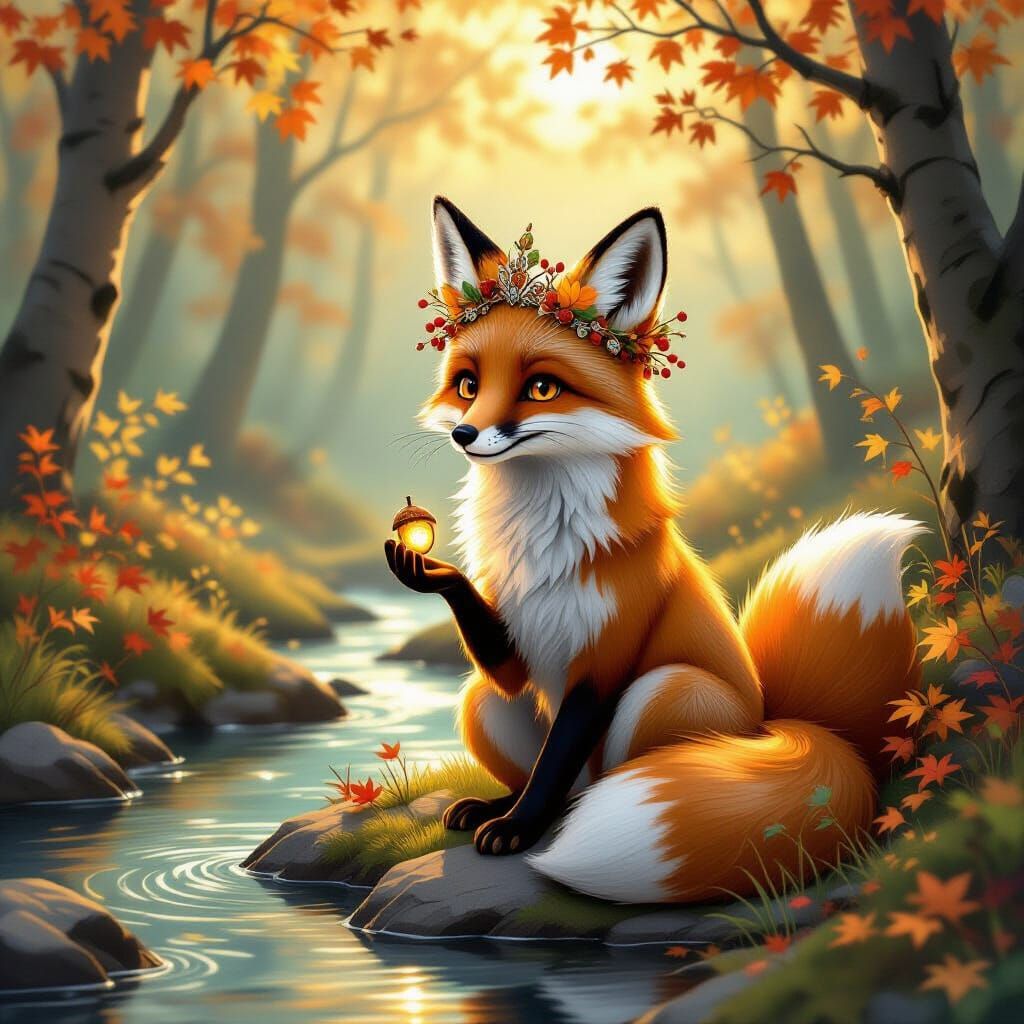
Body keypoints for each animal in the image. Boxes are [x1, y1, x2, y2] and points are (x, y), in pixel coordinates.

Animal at [382, 195, 924, 904]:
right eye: (468, 385)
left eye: (542, 389)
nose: (467, 435)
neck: (544, 540)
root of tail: (789, 728)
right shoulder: (515, 650)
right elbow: (518, 698)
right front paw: (430, 572)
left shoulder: (607, 659)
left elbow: (556, 761)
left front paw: (520, 830)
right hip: (480, 701)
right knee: (563, 777)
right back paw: (490, 805)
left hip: (666, 691)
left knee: (589, 787)